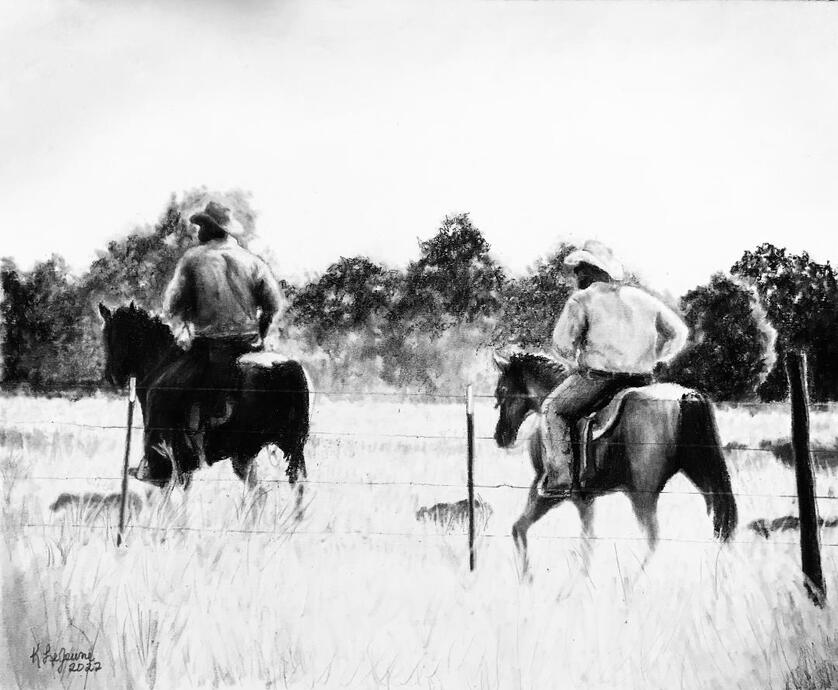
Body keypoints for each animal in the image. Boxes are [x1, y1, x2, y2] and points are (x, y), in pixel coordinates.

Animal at [98, 304, 308, 492]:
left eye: (111, 337)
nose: (112, 376)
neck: (162, 365)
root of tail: (284, 367)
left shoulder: (175, 457)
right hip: (267, 449)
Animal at [496, 352, 740, 572]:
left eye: (502, 390)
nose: (501, 436)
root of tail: (686, 396)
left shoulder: (547, 488)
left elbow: (519, 528)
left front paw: (526, 577)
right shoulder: (584, 499)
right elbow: (587, 542)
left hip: (643, 495)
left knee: (652, 540)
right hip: (701, 473)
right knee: (718, 520)